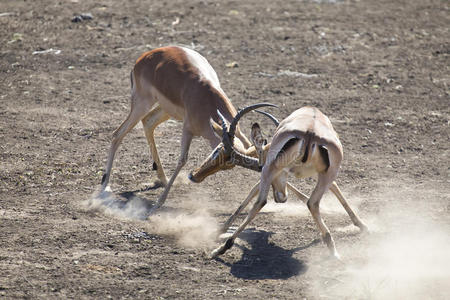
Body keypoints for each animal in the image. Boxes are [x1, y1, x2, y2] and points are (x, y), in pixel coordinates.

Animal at [100, 45, 274, 212]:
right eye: (216, 151)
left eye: (227, 166)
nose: (194, 177)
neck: (206, 99)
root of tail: (144, 57)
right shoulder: (187, 128)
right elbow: (182, 159)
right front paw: (158, 204)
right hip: (142, 103)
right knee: (117, 134)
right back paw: (105, 186)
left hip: (166, 110)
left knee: (148, 121)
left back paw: (163, 180)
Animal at [188, 105, 368, 258]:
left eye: (217, 150)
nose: (193, 175)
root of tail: (310, 133)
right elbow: (334, 186)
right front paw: (362, 225)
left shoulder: (269, 168)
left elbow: (254, 190)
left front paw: (221, 229)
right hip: (320, 172)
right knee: (312, 203)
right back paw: (332, 248)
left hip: (273, 168)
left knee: (261, 201)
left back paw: (221, 249)